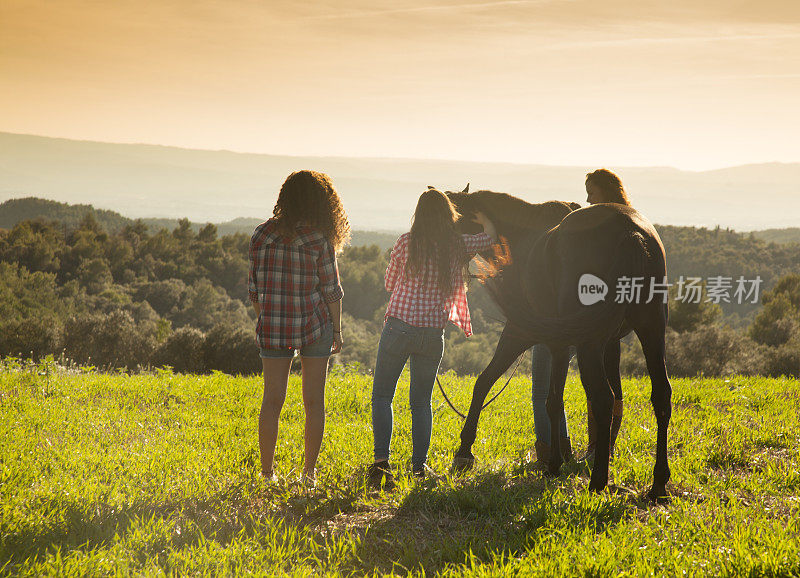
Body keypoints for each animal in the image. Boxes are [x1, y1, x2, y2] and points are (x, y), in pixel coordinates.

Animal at [446, 187, 672, 498]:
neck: (522, 236)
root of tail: (630, 233)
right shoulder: (562, 346)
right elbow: (552, 399)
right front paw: (555, 463)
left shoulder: (523, 334)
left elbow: (489, 383)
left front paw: (465, 452)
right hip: (651, 330)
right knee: (660, 395)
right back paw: (658, 482)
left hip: (592, 344)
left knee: (604, 398)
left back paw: (598, 480)